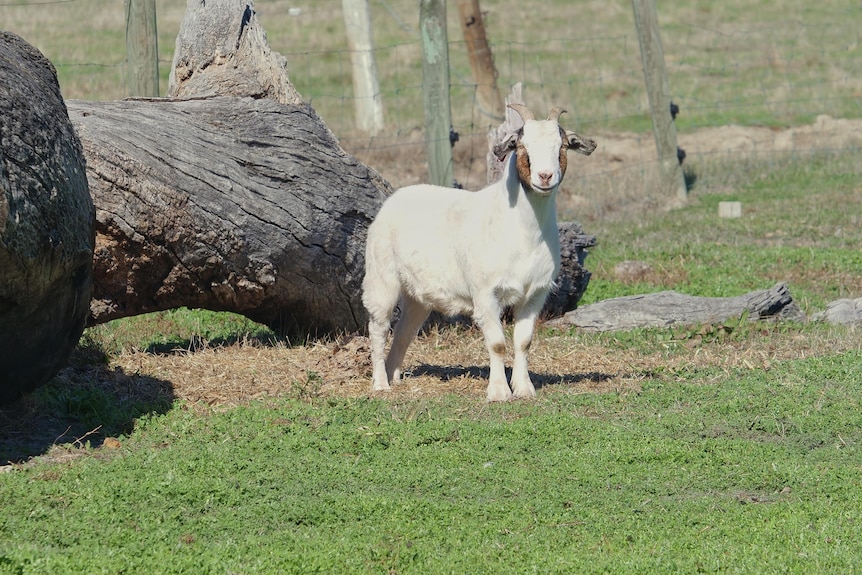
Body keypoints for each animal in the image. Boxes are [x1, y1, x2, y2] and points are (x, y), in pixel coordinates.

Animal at [362, 103, 596, 401]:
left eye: (562, 147)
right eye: (522, 146)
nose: (545, 176)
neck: (522, 232)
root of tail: (393, 199)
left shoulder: (536, 293)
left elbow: (524, 342)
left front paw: (524, 388)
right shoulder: (485, 291)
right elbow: (497, 344)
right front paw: (499, 392)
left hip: (418, 295)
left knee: (405, 330)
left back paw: (394, 375)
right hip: (381, 275)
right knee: (378, 326)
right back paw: (380, 383)